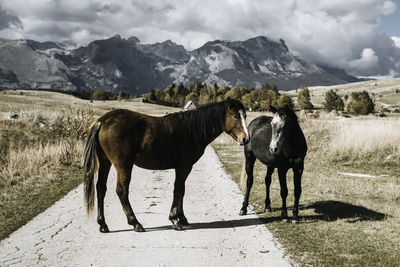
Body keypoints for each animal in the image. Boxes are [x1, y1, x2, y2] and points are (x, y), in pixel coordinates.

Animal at [83, 98, 248, 232]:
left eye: (245, 116)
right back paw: (135, 223)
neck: (191, 130)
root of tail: (102, 121)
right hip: (123, 165)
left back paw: (103, 225)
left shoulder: (183, 168)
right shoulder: (183, 167)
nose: (245, 139)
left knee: (101, 189)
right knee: (121, 191)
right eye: (235, 116)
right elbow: (178, 190)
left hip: (105, 162)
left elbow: (182, 191)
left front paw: (182, 217)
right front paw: (175, 219)